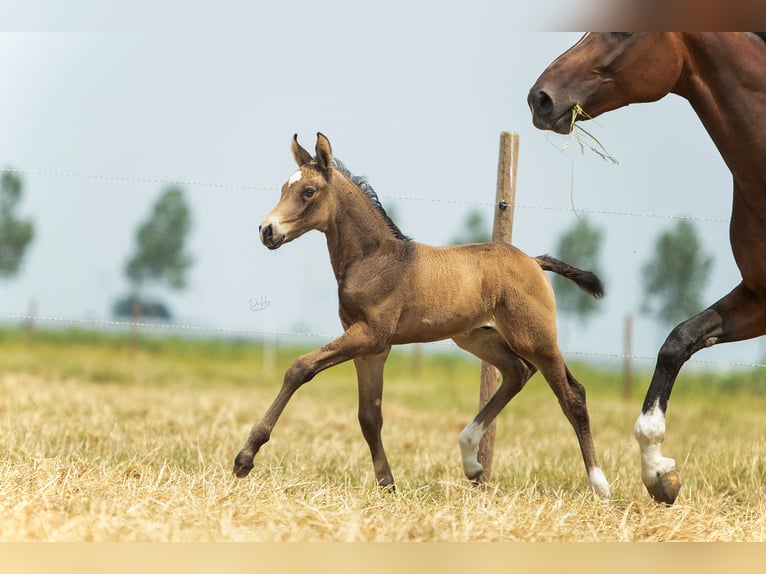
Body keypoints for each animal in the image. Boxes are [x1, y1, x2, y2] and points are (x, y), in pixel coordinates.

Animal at [234, 133, 612, 502]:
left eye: (308, 191)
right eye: (284, 188)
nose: (267, 230)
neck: (374, 259)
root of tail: (533, 261)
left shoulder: (370, 334)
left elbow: (300, 368)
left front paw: (245, 457)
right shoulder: (371, 346)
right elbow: (369, 416)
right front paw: (387, 485)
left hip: (536, 338)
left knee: (572, 395)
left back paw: (600, 486)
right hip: (480, 338)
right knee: (517, 372)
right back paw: (471, 460)